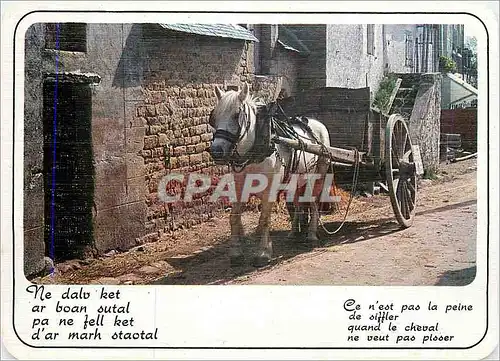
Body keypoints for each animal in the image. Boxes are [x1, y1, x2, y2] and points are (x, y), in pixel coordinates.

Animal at [209, 82, 334, 268]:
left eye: (236, 115)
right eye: (214, 117)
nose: (216, 151)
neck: (256, 150)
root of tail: (316, 123)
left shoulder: (269, 189)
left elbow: (264, 219)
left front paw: (263, 253)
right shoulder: (239, 186)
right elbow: (234, 217)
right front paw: (236, 253)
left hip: (319, 173)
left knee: (313, 202)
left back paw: (311, 235)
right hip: (296, 178)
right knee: (297, 203)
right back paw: (294, 233)